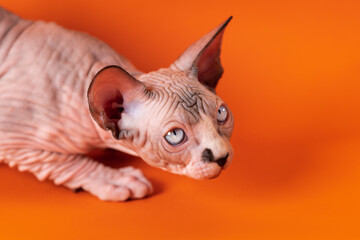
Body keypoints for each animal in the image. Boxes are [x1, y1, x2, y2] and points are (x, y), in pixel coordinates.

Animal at [0, 7, 233, 201]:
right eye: (175, 135)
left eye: (222, 113)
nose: (222, 157)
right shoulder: (13, 139)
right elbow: (67, 162)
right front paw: (114, 180)